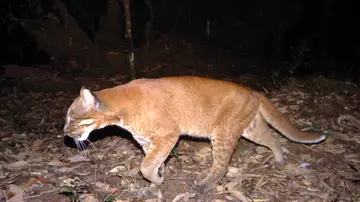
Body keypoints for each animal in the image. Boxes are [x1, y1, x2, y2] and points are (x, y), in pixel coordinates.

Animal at [62, 76, 326, 196]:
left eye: (72, 117)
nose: (64, 133)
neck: (121, 110)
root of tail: (252, 90)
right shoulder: (149, 141)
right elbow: (154, 162)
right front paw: (156, 184)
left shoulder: (168, 135)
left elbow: (146, 165)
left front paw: (156, 181)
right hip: (249, 128)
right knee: (272, 137)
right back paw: (279, 159)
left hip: (222, 133)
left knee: (222, 165)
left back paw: (203, 185)